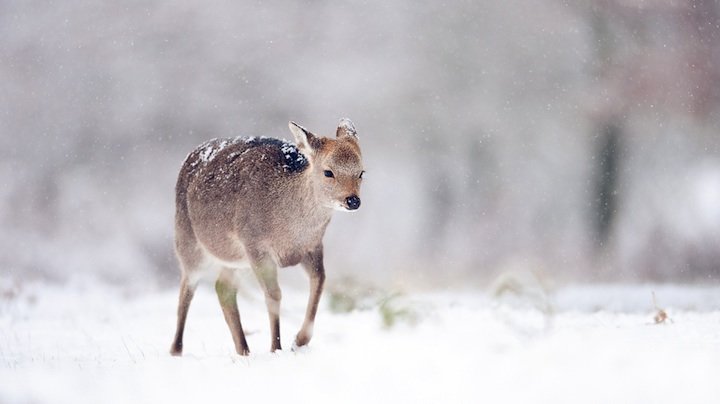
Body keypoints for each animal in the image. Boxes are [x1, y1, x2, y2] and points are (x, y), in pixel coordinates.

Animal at [170, 117, 366, 356]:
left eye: (361, 172)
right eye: (328, 172)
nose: (353, 200)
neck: (290, 233)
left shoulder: (313, 246)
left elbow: (319, 282)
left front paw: (299, 340)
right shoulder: (255, 244)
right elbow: (274, 294)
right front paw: (276, 348)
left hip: (236, 260)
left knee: (223, 287)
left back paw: (243, 350)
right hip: (188, 240)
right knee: (186, 289)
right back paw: (176, 349)